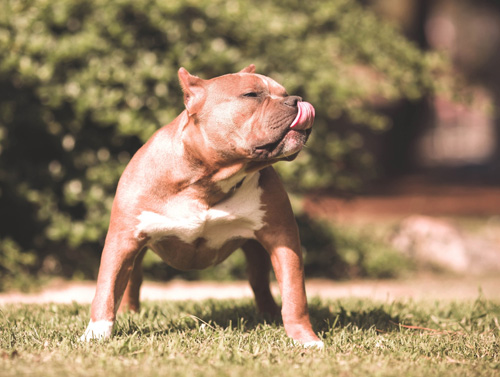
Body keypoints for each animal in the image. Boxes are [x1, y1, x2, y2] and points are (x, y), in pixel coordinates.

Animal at [81, 64, 324, 346]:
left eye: (284, 93)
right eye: (251, 95)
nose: (296, 100)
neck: (207, 181)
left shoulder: (283, 238)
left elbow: (295, 295)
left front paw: (305, 339)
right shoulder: (123, 240)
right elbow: (106, 290)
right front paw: (95, 335)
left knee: (260, 282)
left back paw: (270, 315)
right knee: (131, 282)